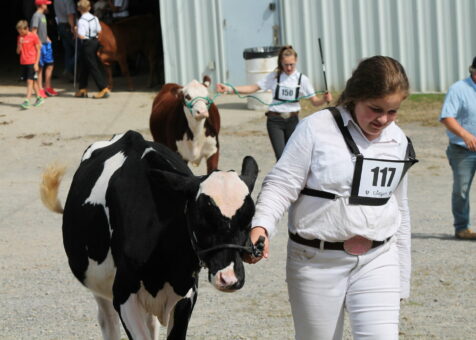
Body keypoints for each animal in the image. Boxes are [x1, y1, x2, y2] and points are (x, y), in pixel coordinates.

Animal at [40, 130, 260, 340]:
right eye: (202, 219)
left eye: (249, 220)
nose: (229, 278)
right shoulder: (123, 292)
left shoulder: (187, 291)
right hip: (98, 284)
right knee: (108, 322)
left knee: (151, 324)